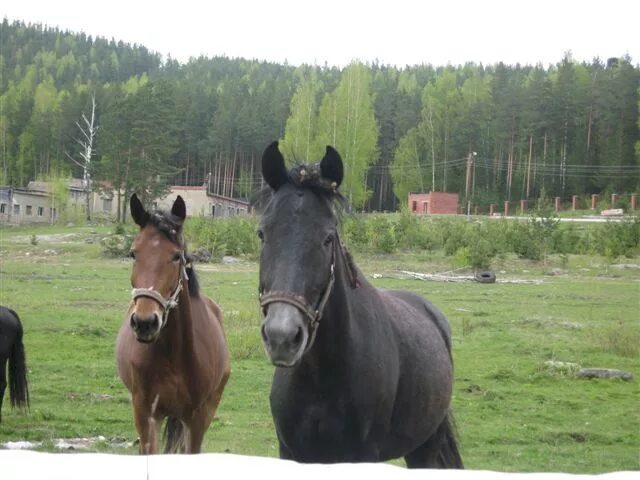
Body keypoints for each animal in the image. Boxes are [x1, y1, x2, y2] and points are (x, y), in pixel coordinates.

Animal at [116, 194, 231, 454]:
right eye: (133, 253)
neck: (173, 355)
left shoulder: (198, 419)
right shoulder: (146, 414)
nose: (145, 322)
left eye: (176, 256)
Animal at [258, 142, 462, 468]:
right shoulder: (292, 454)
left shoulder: (363, 455)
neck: (322, 375)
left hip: (425, 447)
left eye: (328, 238)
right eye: (262, 233)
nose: (282, 336)